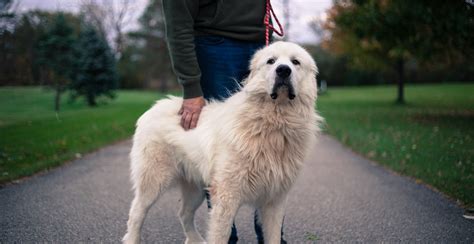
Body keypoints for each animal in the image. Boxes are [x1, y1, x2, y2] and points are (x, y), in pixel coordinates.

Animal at [122, 42, 322, 244]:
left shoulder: (274, 200)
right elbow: (220, 235)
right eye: (271, 61)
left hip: (196, 188)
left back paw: (195, 240)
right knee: (136, 214)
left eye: (295, 62)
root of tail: (154, 107)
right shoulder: (227, 196)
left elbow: (273, 236)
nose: (283, 70)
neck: (273, 123)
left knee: (183, 214)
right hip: (153, 182)